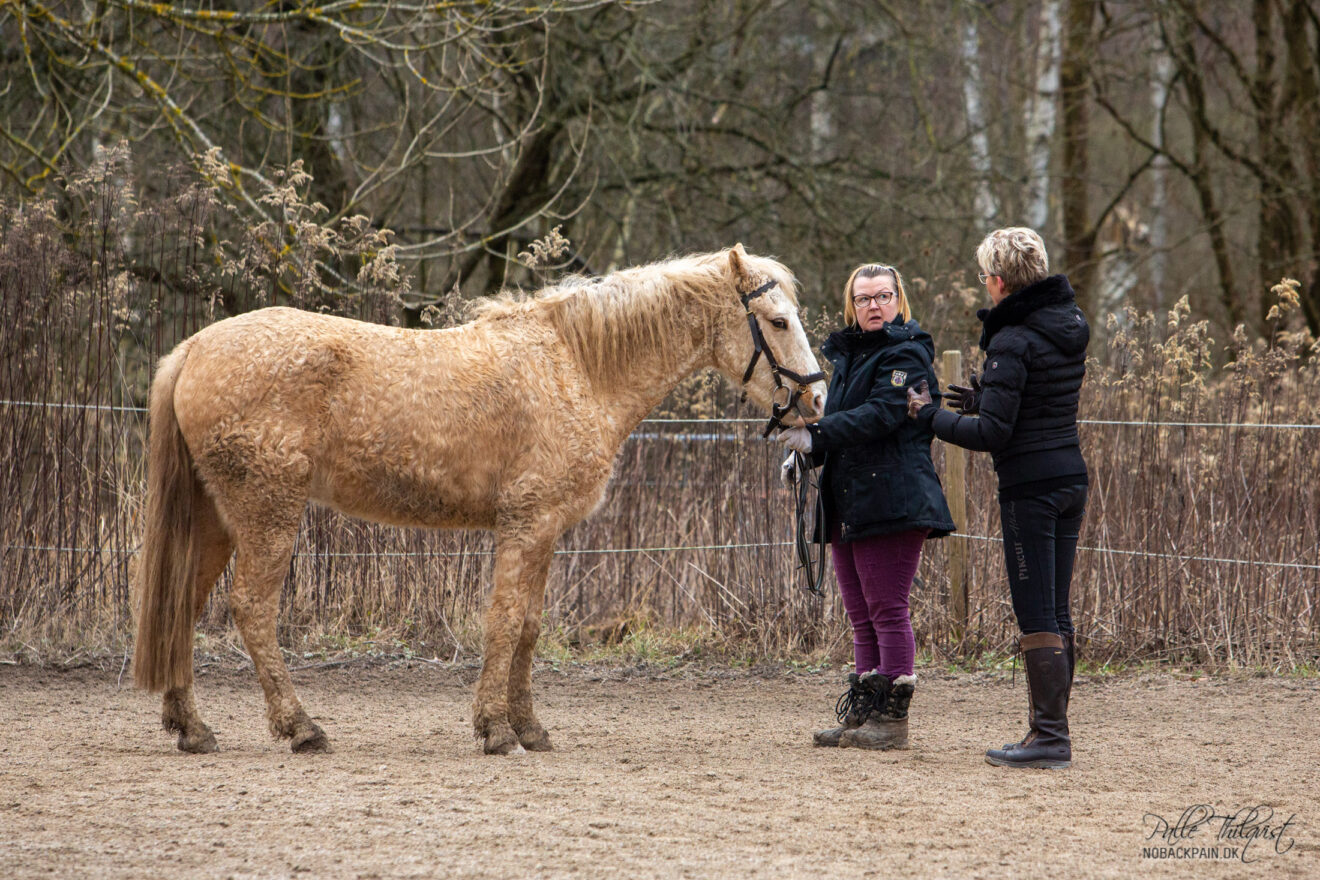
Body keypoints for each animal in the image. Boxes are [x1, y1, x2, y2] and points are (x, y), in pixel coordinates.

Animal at [133, 246, 823, 759]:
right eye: (779, 321)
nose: (817, 400)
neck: (574, 367)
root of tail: (193, 349)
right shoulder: (526, 525)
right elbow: (505, 623)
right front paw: (494, 730)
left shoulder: (544, 532)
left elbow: (530, 627)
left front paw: (530, 729)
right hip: (266, 514)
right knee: (251, 609)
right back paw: (301, 728)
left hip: (218, 520)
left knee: (181, 606)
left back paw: (191, 729)